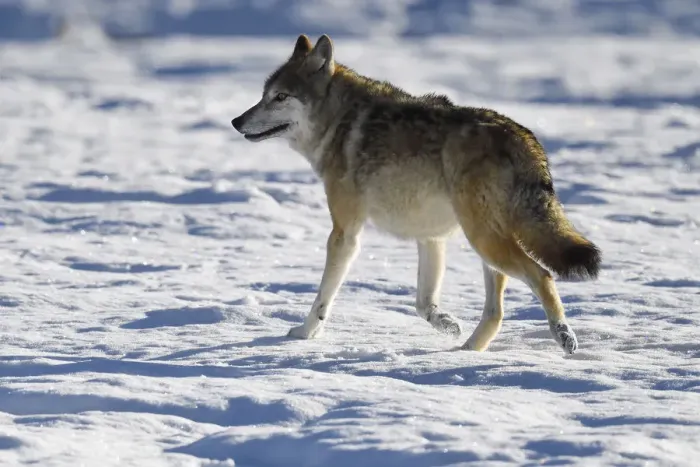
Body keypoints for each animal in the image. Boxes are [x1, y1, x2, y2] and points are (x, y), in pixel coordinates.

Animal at [231, 34, 601, 354]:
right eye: (264, 94)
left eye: (280, 97)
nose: (236, 121)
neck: (339, 123)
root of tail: (524, 138)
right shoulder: (430, 237)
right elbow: (423, 303)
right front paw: (448, 324)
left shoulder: (345, 233)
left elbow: (323, 296)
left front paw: (304, 334)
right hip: (487, 245)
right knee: (496, 312)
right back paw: (465, 351)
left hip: (485, 241)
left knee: (542, 275)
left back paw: (563, 335)